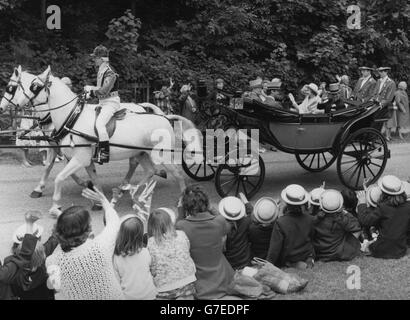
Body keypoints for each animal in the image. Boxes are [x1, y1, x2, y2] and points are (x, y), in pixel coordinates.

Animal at [0, 66, 203, 216]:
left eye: (33, 86)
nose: (4, 107)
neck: (72, 118)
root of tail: (165, 118)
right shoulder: (80, 158)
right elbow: (91, 179)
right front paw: (97, 199)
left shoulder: (79, 158)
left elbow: (58, 177)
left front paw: (55, 206)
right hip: (142, 153)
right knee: (149, 170)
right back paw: (132, 193)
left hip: (162, 156)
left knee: (177, 174)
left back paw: (179, 200)